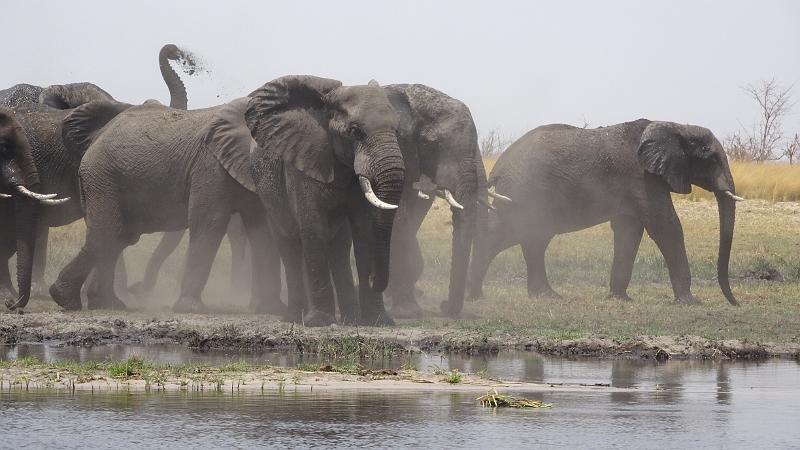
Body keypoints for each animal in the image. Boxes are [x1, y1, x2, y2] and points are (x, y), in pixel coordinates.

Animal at [50, 88, 288, 314]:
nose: (137, 288)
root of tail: (98, 136)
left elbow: (261, 228)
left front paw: (273, 309)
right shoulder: (209, 165)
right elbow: (210, 221)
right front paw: (191, 309)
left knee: (118, 237)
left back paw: (107, 304)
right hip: (102, 176)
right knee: (108, 231)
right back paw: (67, 299)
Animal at [245, 75, 406, 326]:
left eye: (397, 130)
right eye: (355, 131)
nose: (372, 278)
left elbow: (364, 232)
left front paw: (378, 322)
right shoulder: (302, 162)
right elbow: (313, 228)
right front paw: (320, 321)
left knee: (339, 248)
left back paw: (351, 320)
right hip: (267, 192)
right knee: (288, 244)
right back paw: (295, 318)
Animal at [466, 118, 740, 306]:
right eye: (711, 158)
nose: (735, 303)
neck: (676, 126)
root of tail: (498, 167)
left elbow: (629, 231)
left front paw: (619, 298)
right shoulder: (643, 178)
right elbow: (666, 226)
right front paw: (690, 302)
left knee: (525, 238)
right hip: (527, 192)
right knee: (519, 236)